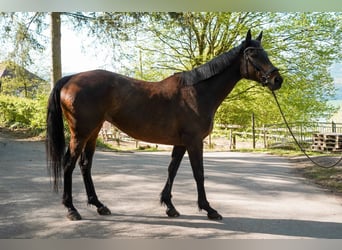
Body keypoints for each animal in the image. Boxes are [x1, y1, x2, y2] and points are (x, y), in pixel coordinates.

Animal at [46, 29, 284, 221]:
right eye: (253, 55)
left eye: (265, 53)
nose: (277, 80)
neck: (197, 92)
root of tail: (70, 79)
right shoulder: (194, 142)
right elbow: (199, 173)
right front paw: (209, 209)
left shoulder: (181, 143)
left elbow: (172, 170)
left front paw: (169, 206)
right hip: (81, 133)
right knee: (69, 164)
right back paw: (71, 209)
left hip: (93, 132)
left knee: (85, 165)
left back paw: (99, 205)